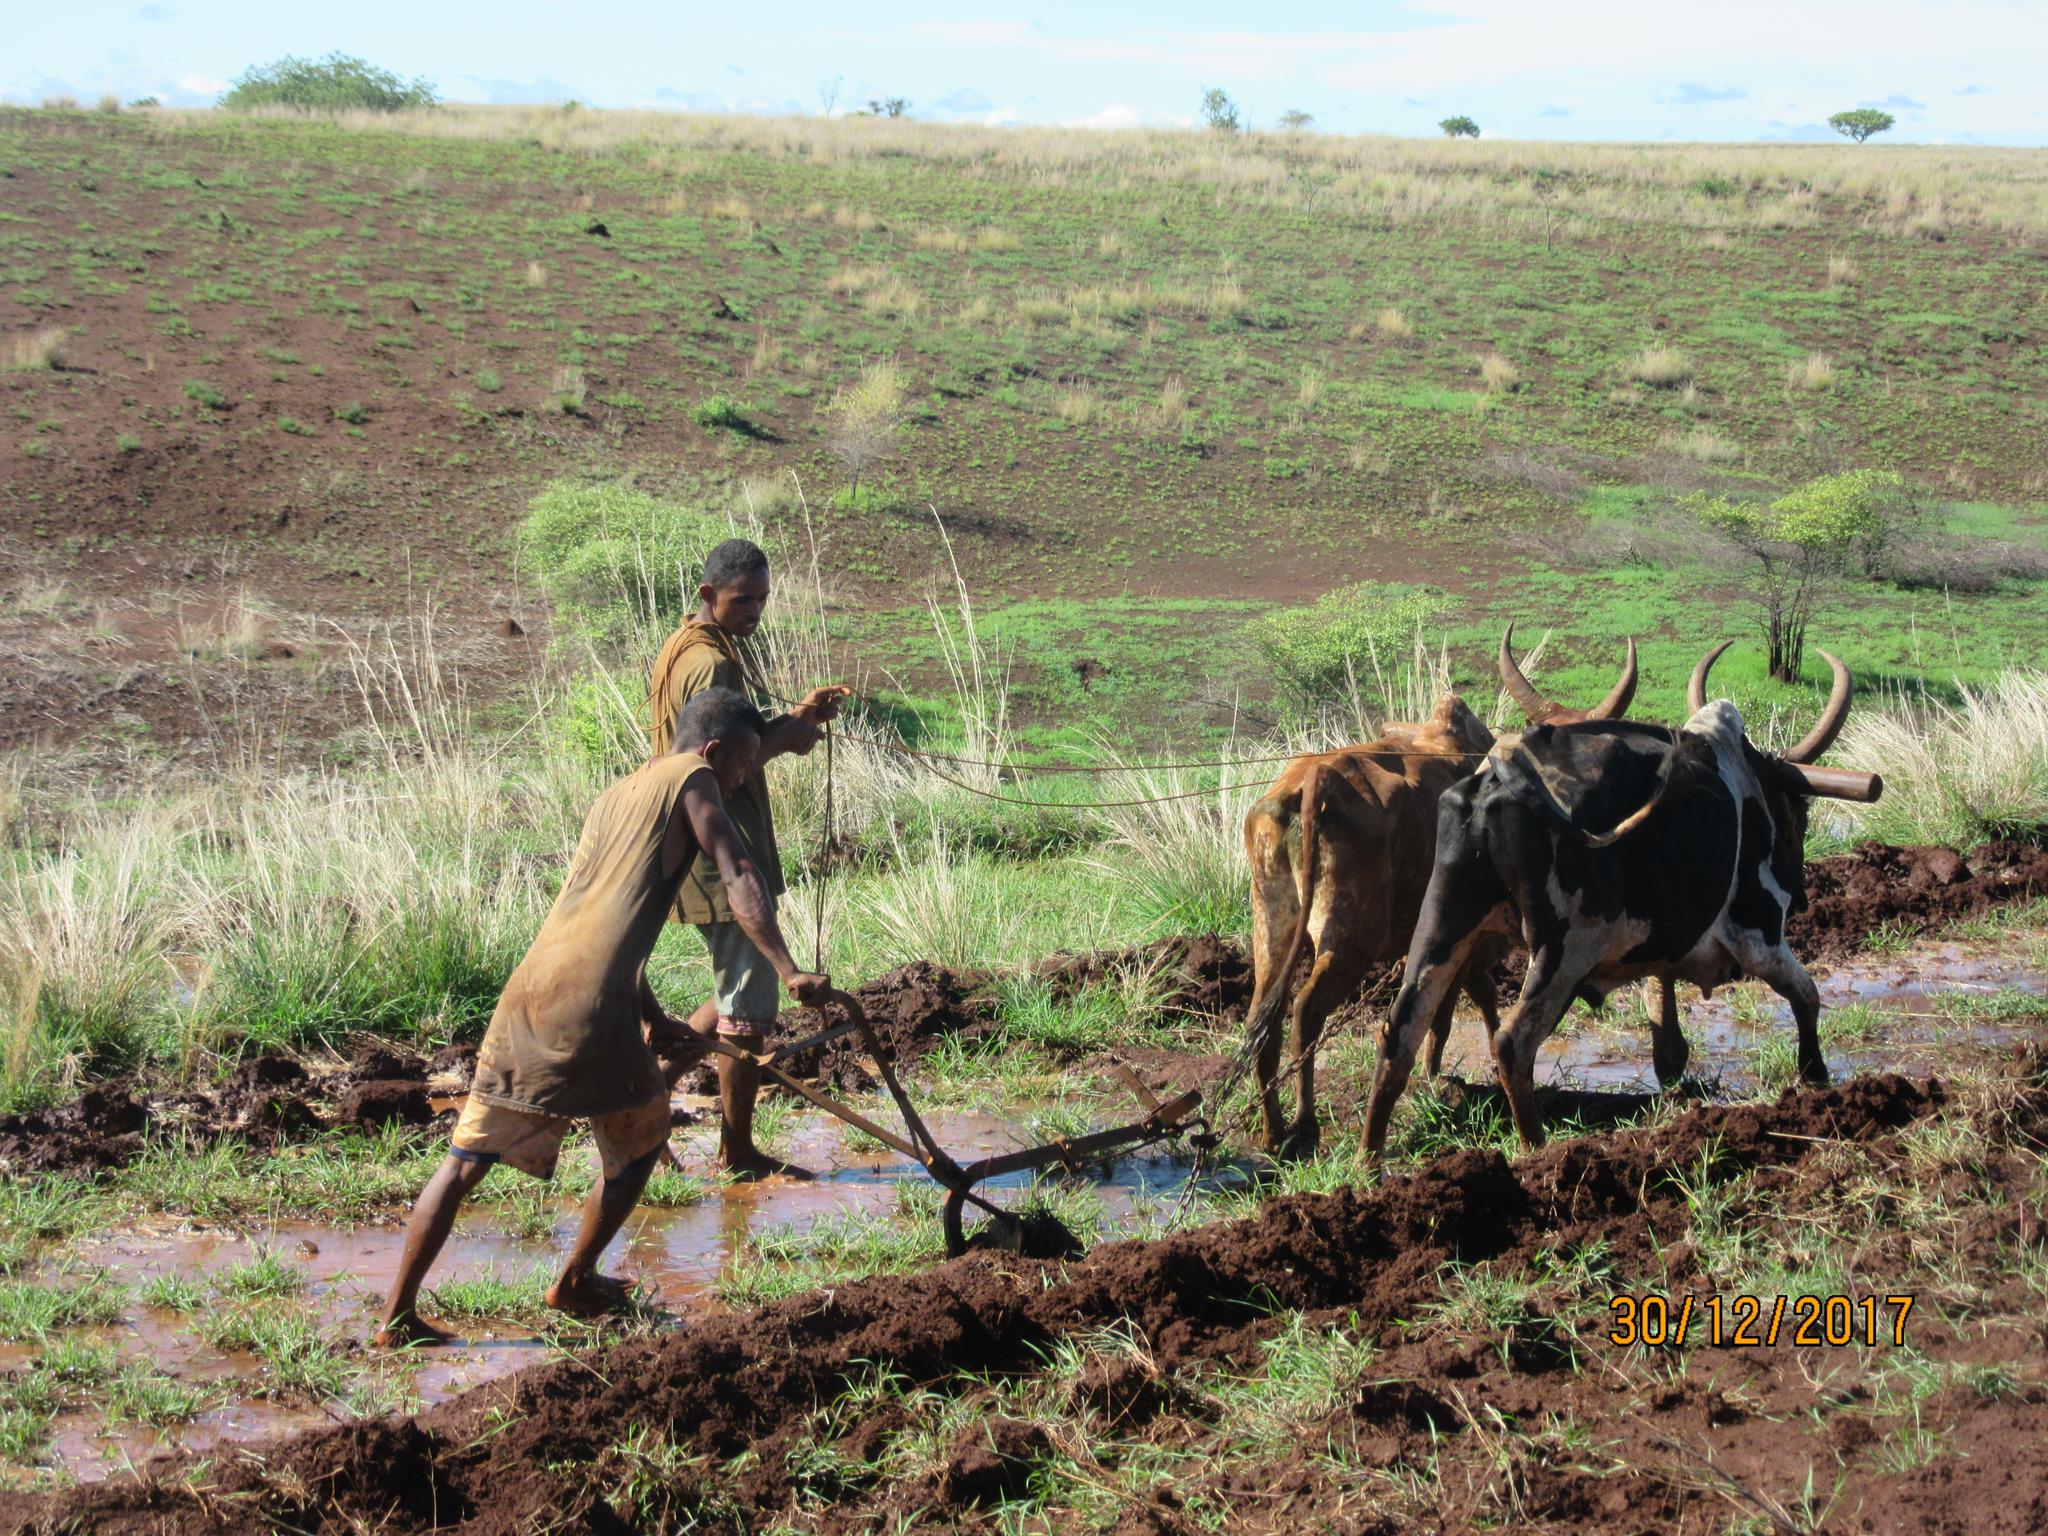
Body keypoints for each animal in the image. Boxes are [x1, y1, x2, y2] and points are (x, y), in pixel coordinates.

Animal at [1241, 630, 1640, 1157]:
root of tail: (1310, 780)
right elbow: (1467, 1004)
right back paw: (1306, 1127)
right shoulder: (1468, 936)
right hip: (1349, 938)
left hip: (1272, 925)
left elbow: (1456, 1003)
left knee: (1260, 1019)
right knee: (1307, 1011)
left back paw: (1272, 1132)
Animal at [1360, 644, 1879, 1158]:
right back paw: (1537, 1153)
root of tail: (1504, 774)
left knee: (1398, 1035)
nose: (1804, 893)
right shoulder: (1758, 935)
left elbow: (1665, 1022)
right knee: (1511, 1043)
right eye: (1799, 816)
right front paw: (1815, 1077)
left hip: (1442, 927)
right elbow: (1806, 995)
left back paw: (1371, 1162)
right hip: (1564, 951)